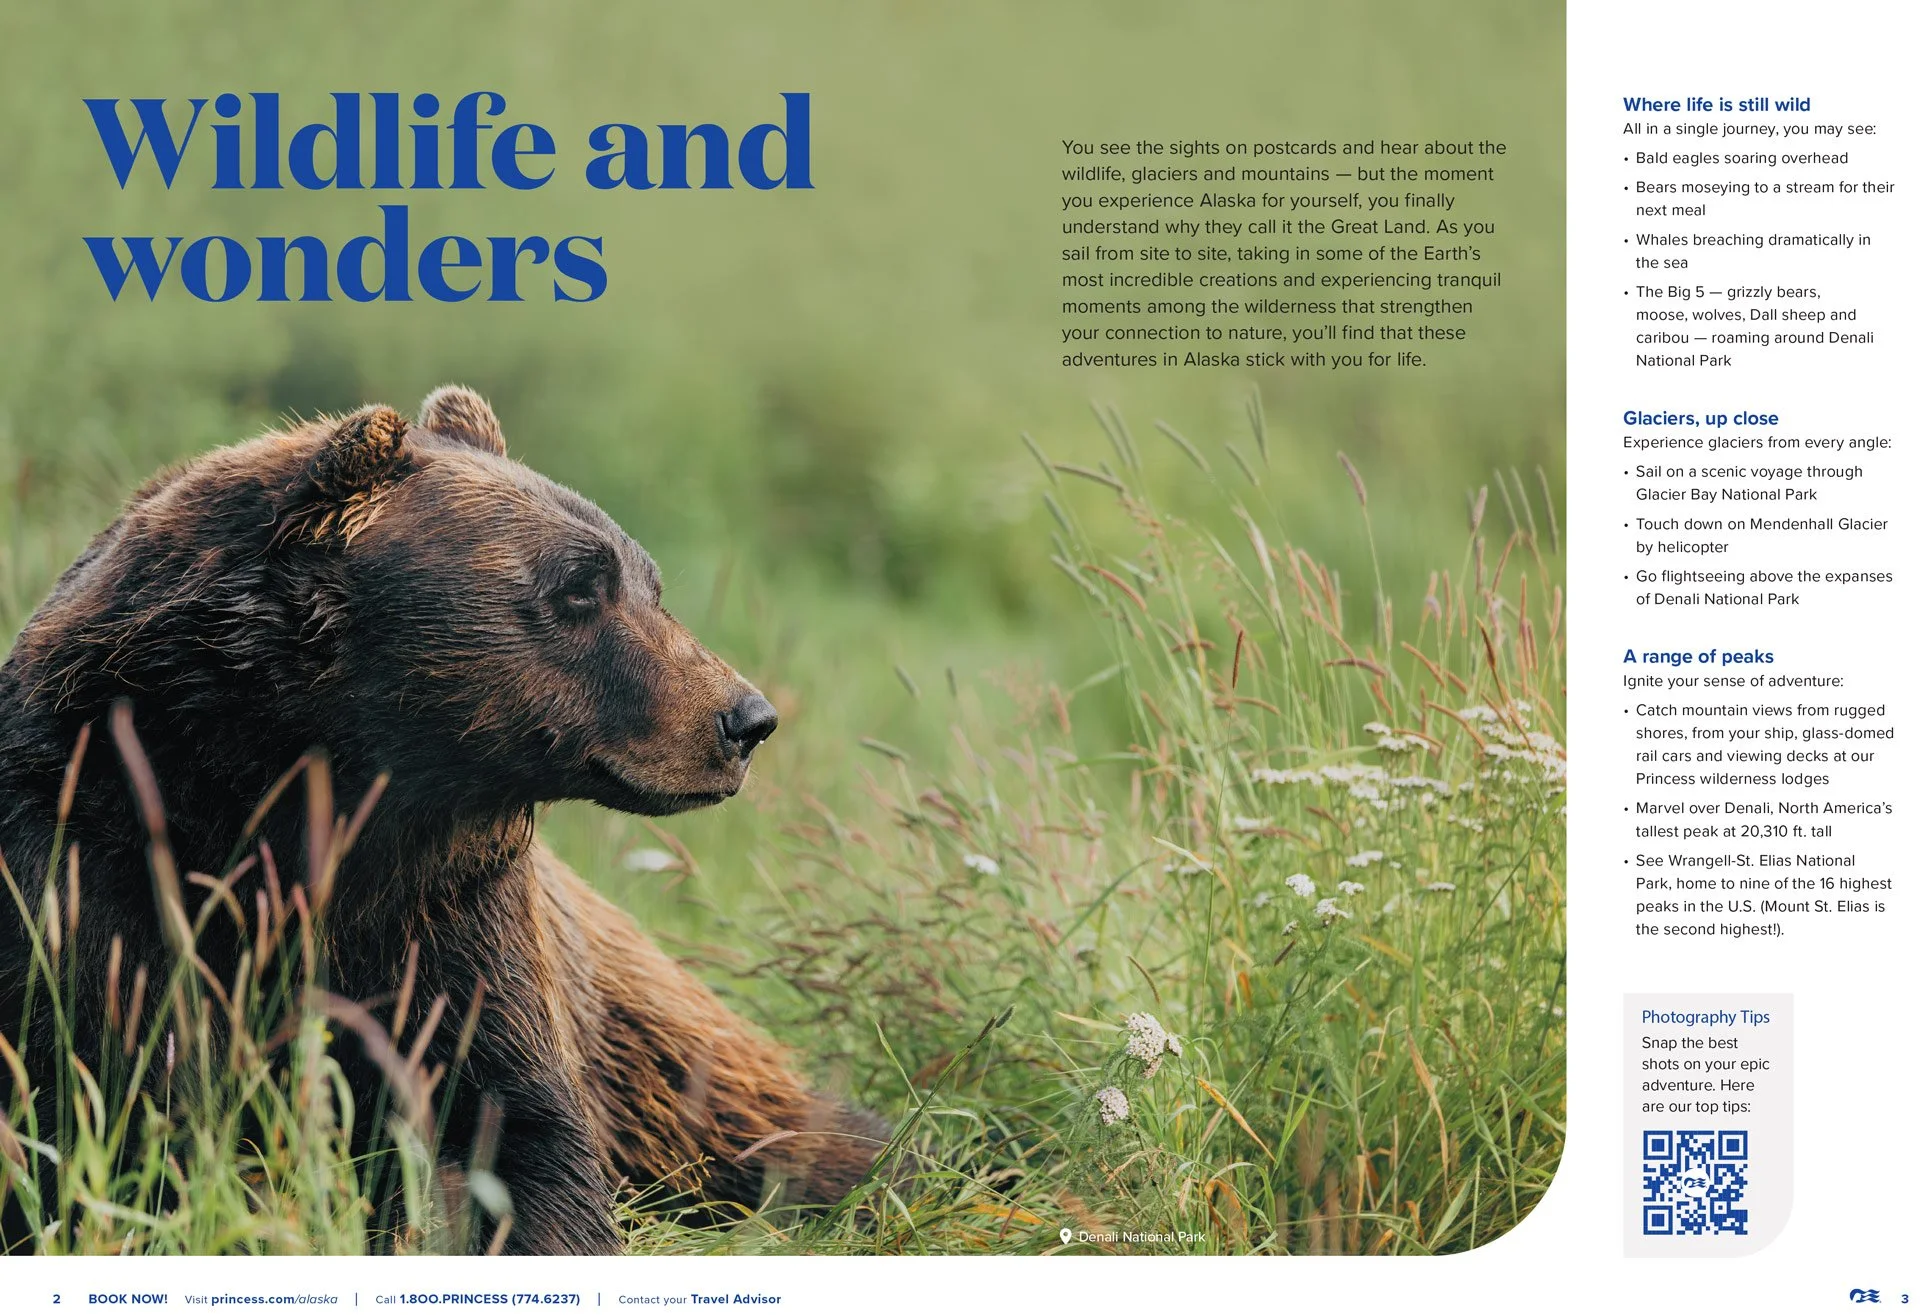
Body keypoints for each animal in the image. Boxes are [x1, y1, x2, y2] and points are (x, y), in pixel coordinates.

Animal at [0, 387, 887, 1255]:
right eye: (579, 587)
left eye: (649, 583)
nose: (745, 719)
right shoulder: (90, 862)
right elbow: (110, 1096)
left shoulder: (453, 912)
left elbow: (516, 1123)